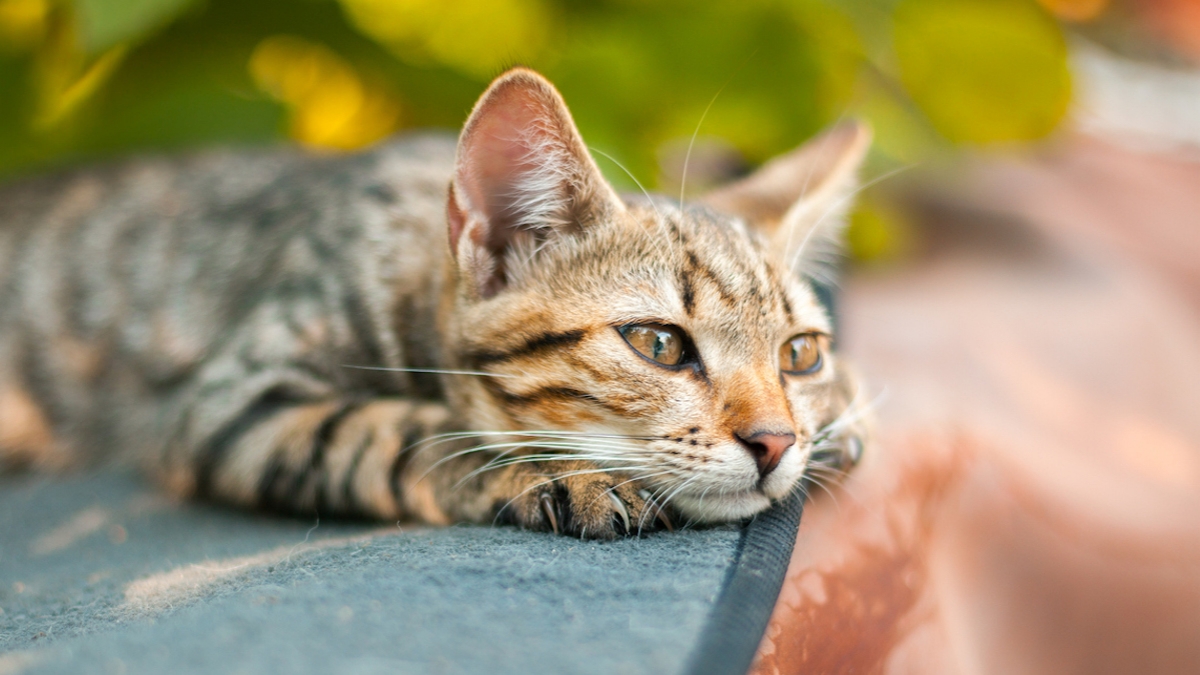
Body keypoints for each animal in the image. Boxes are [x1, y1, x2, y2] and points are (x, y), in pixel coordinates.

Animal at [0, 68, 868, 538]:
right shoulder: (231, 398)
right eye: (658, 343)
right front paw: (555, 471)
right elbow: (402, 428)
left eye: (799, 354)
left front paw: (842, 419)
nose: (775, 441)